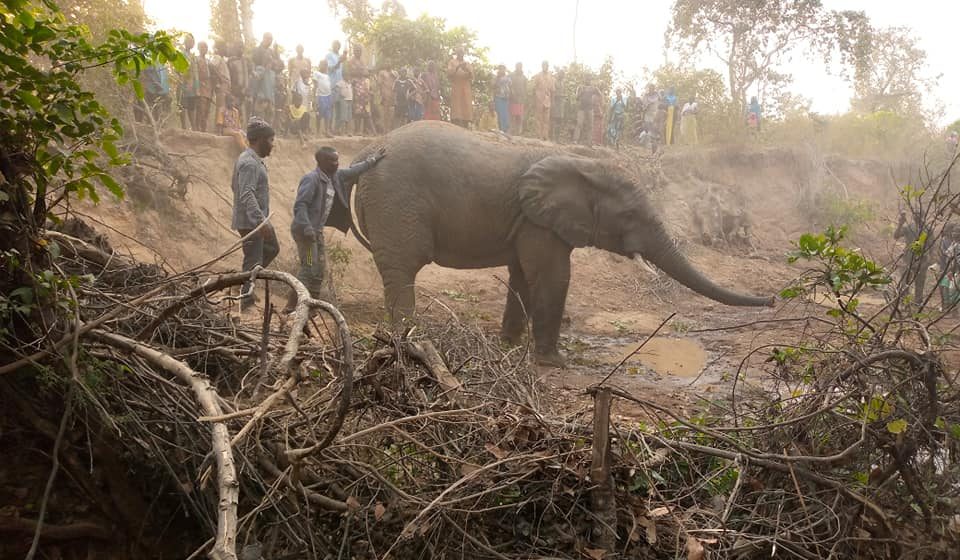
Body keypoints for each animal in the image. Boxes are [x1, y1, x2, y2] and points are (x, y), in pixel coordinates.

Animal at [326, 121, 776, 368]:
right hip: (395, 202)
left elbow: (523, 276)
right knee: (402, 271)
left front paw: (508, 346)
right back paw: (409, 342)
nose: (772, 300)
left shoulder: (529, 221)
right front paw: (553, 363)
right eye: (630, 216)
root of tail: (366, 153)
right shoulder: (539, 223)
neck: (581, 163)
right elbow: (554, 276)